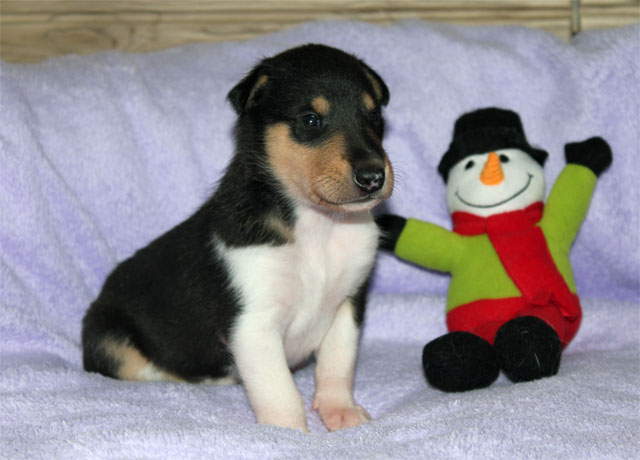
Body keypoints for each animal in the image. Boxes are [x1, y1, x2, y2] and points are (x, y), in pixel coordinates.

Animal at [82, 44, 394, 433]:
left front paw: (342, 412)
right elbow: (279, 391)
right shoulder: (252, 322)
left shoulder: (347, 304)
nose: (373, 177)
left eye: (374, 116)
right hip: (108, 338)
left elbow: (337, 365)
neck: (316, 226)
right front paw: (287, 434)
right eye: (310, 119)